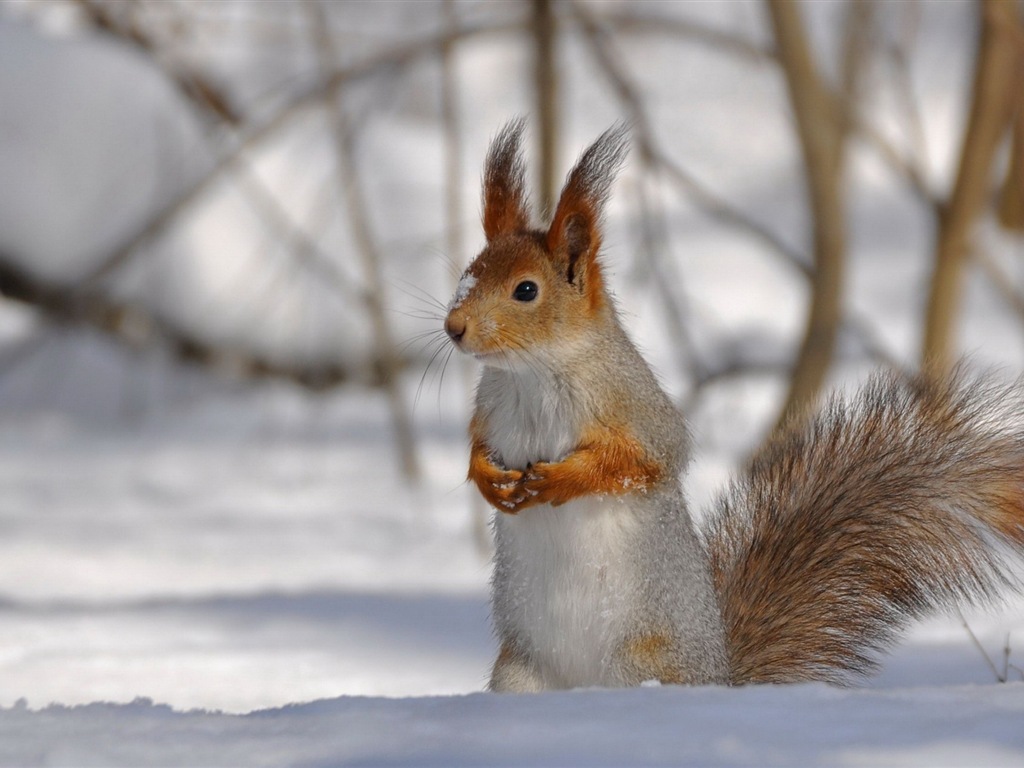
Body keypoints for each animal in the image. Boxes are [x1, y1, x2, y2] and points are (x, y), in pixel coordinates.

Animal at [446, 118, 1024, 692]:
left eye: (526, 290)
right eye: (467, 273)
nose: (454, 328)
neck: (531, 372)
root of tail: (719, 677)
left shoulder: (635, 406)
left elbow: (645, 460)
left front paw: (559, 480)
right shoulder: (489, 407)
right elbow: (477, 447)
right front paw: (488, 480)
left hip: (639, 663)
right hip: (520, 673)